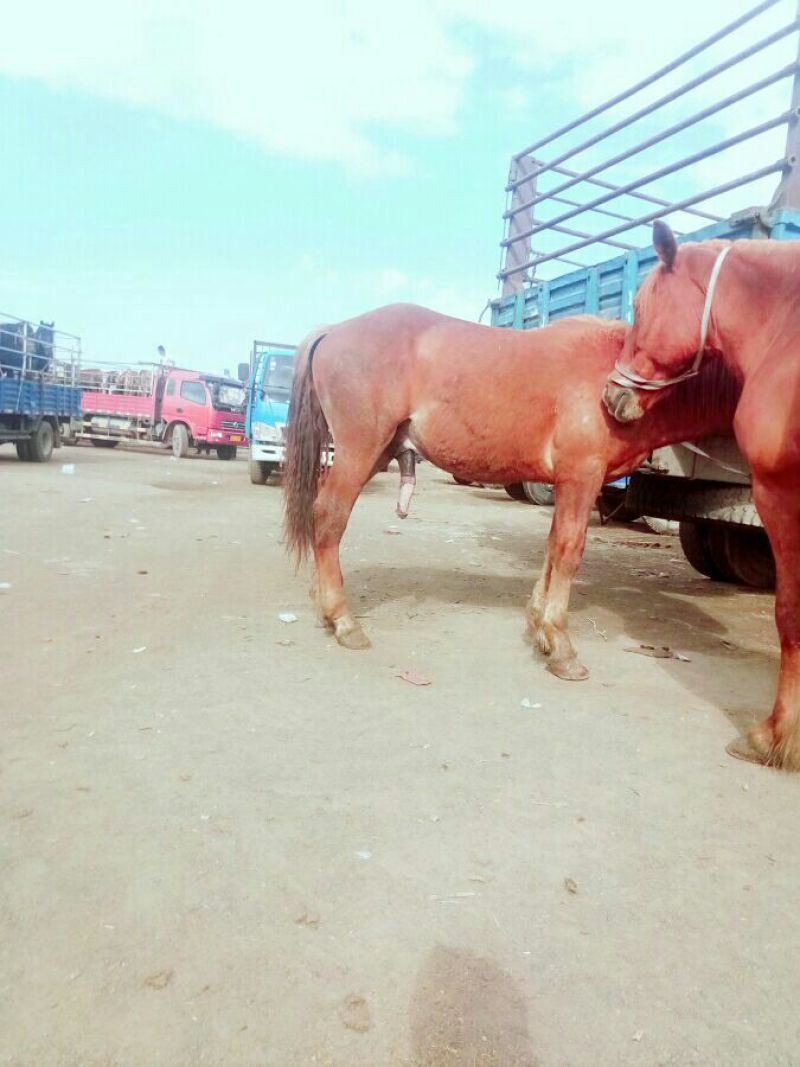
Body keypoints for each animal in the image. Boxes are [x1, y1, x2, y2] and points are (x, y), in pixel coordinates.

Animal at [282, 303, 738, 681]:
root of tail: (333, 331)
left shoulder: (568, 483)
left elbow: (553, 546)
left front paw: (540, 629)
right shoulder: (582, 476)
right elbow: (569, 550)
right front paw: (561, 647)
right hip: (360, 450)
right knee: (329, 516)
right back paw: (343, 621)